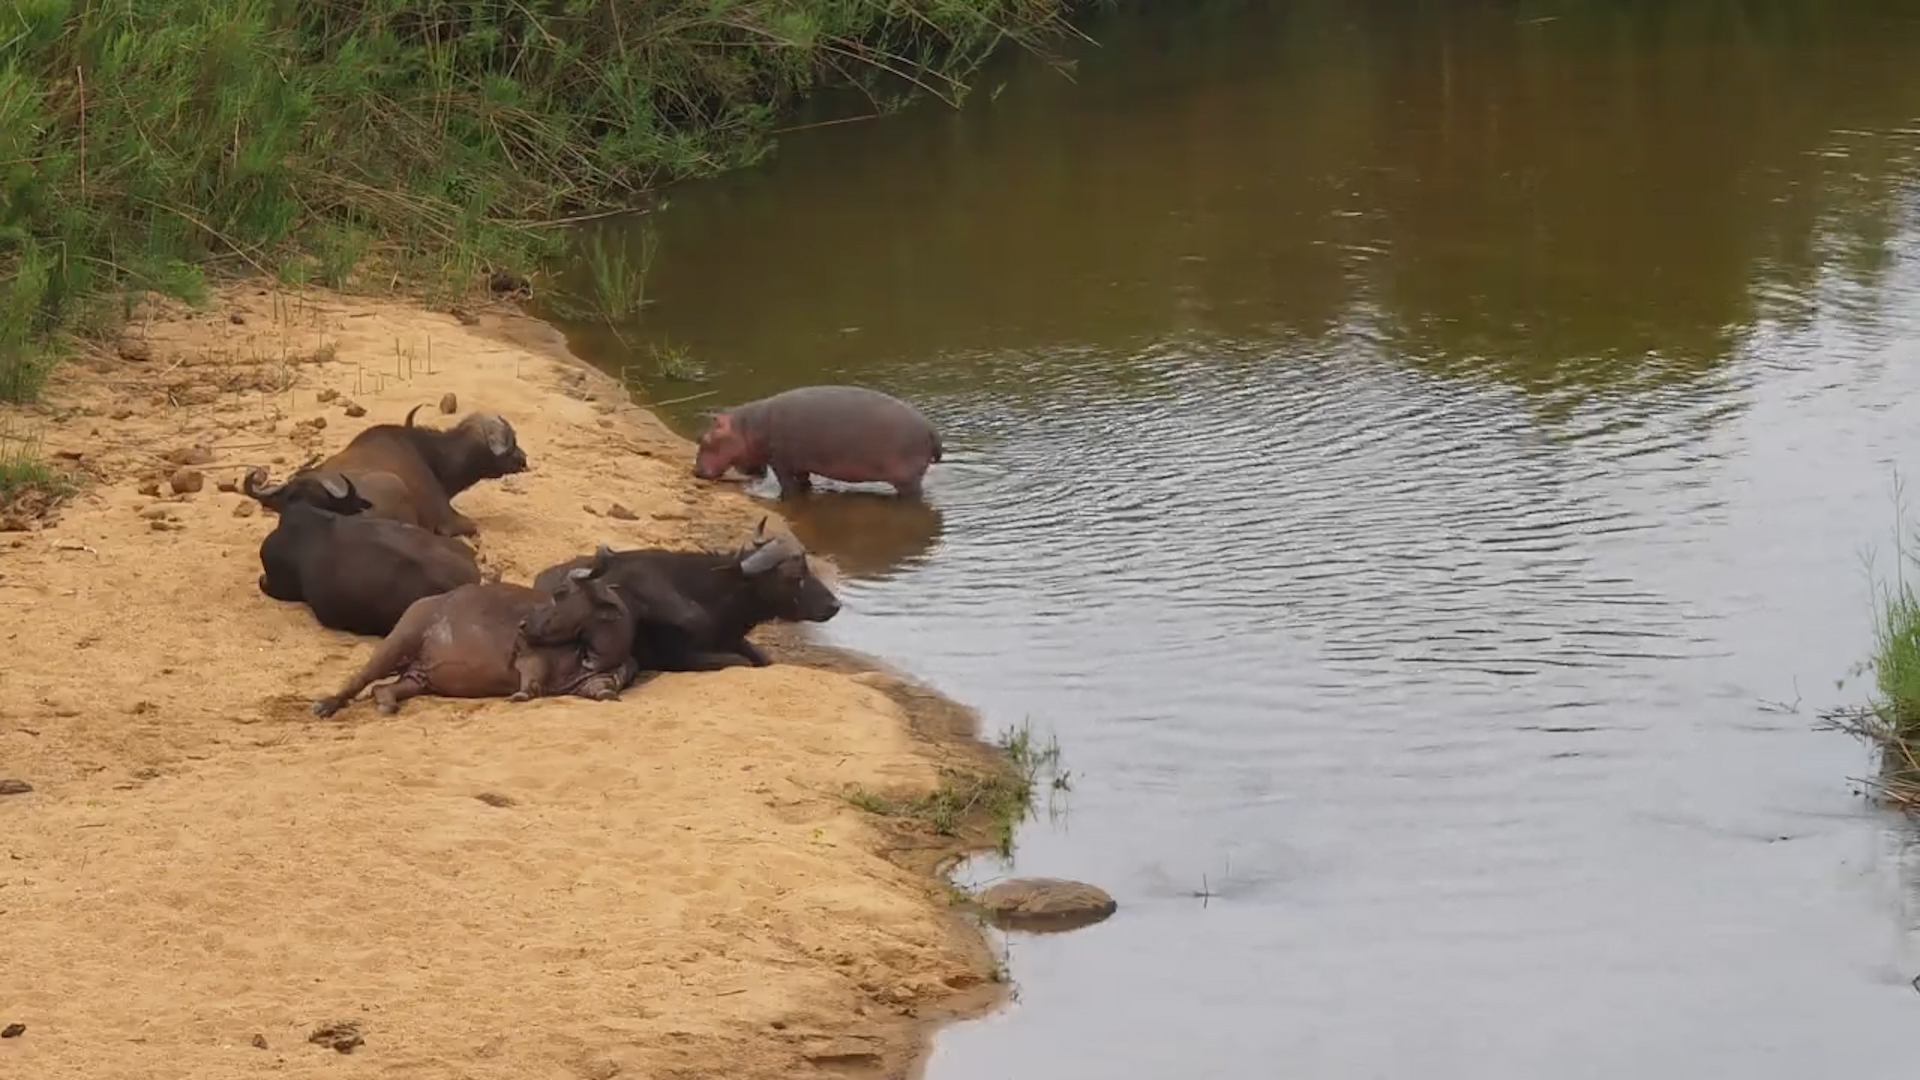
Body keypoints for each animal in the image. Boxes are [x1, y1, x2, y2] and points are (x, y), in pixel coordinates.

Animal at [310, 546, 643, 718]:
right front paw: (522, 693)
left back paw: (386, 702)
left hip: (418, 678)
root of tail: (426, 603)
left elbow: (605, 692)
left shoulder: (595, 684)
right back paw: (326, 705)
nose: (523, 626)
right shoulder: (529, 659)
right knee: (359, 679)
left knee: (385, 688)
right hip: (397, 643)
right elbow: (531, 687)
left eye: (561, 593)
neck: (589, 654)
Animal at [532, 517, 842, 672]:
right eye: (795, 577)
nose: (835, 604)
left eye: (808, 568)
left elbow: (762, 658)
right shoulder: (680, 657)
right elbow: (739, 661)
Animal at [691, 385, 943, 499]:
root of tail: (931, 428)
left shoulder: (780, 462)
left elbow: (788, 486)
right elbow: (804, 481)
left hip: (907, 479)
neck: (747, 427)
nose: (695, 471)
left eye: (704, 439)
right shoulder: (800, 463)